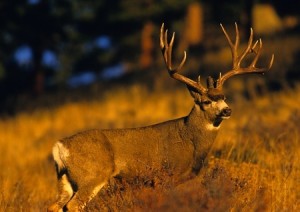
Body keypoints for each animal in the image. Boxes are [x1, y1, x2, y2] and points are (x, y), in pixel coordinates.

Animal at [48, 22, 274, 211]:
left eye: (224, 96)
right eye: (206, 101)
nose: (227, 110)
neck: (190, 140)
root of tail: (59, 146)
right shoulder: (167, 174)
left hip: (65, 179)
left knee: (54, 206)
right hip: (93, 174)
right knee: (72, 206)